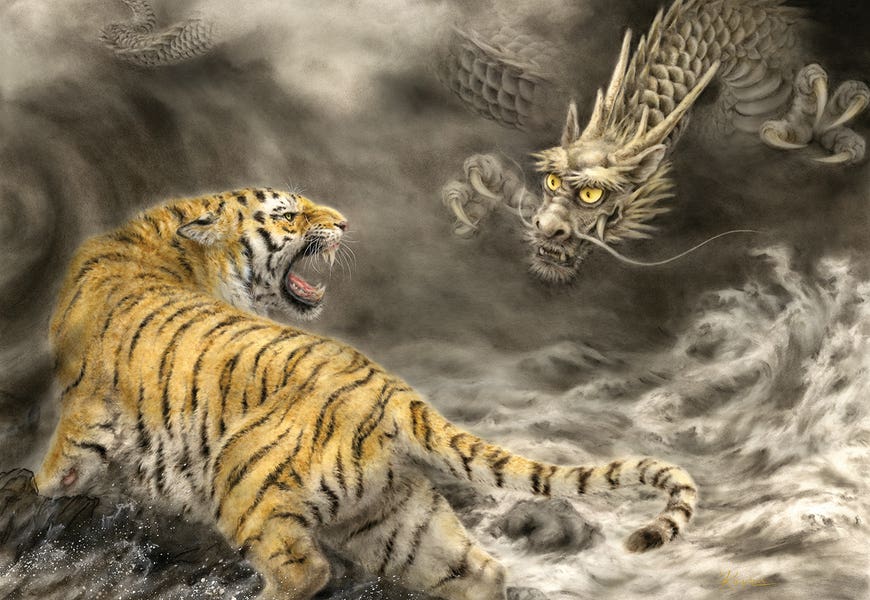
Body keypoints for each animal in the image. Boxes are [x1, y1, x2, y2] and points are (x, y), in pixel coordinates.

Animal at [35, 187, 698, 600]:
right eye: (287, 215)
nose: (345, 224)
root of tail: (391, 390)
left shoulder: (85, 413)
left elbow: (58, 467)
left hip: (244, 481)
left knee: (305, 573)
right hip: (398, 522)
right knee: (480, 570)